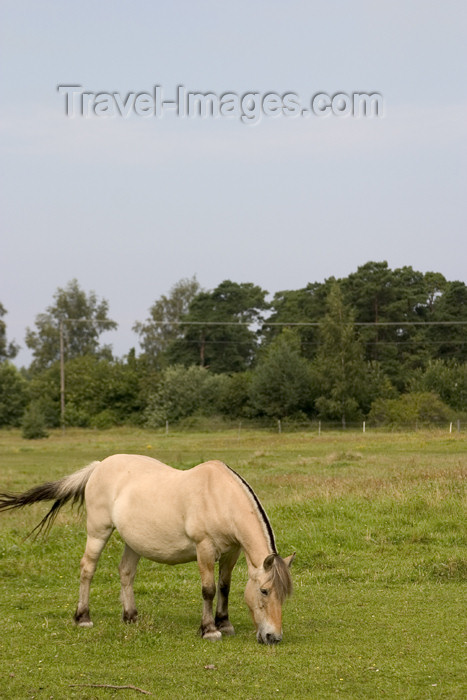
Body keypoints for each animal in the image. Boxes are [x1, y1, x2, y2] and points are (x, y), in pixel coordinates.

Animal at [0, 454, 294, 644]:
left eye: (283, 595)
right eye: (264, 591)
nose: (273, 637)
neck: (218, 496)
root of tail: (98, 466)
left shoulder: (232, 552)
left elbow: (224, 587)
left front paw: (225, 623)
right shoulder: (205, 550)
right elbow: (209, 590)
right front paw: (210, 630)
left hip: (133, 542)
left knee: (126, 572)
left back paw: (130, 616)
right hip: (98, 532)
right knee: (87, 569)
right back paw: (83, 617)